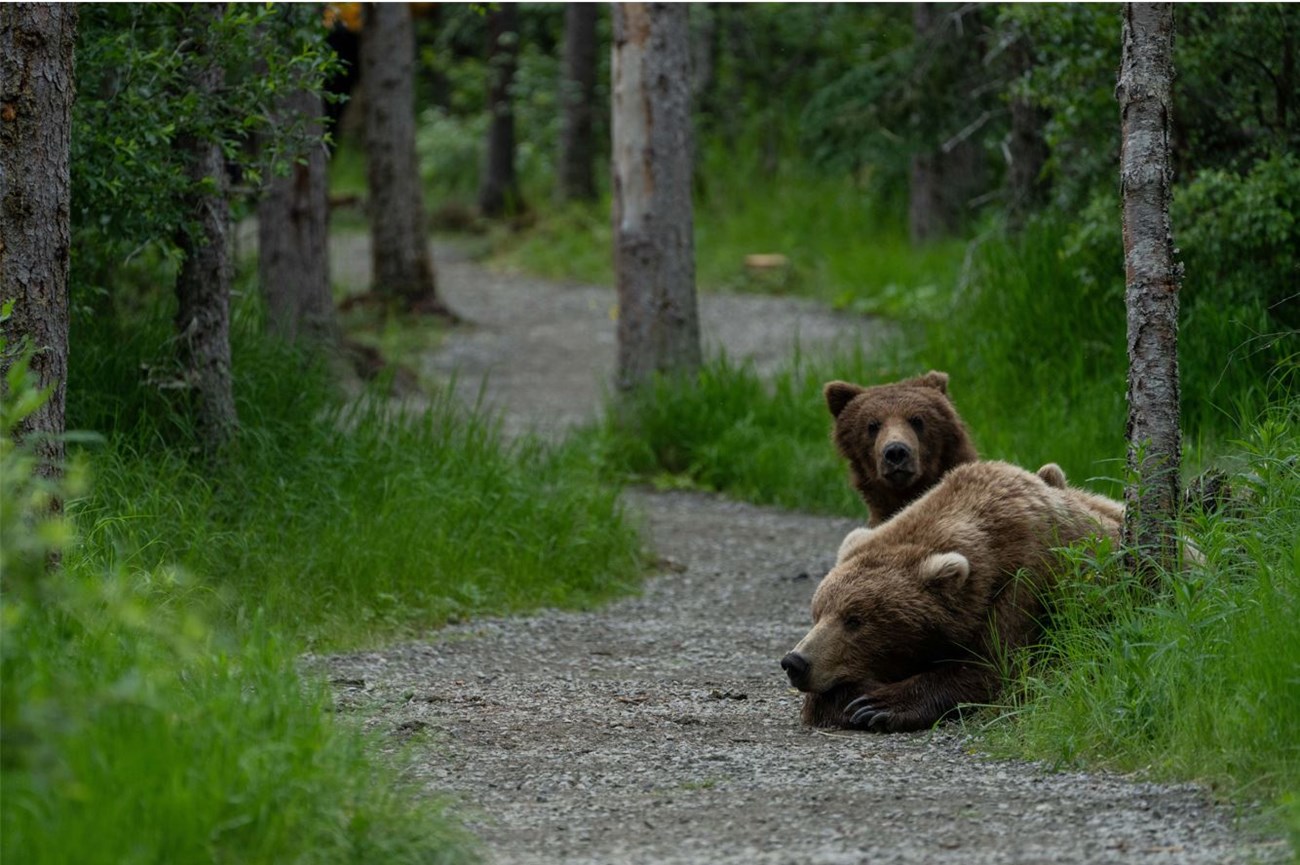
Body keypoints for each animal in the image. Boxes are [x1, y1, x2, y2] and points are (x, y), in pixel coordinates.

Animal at [780, 457, 1128, 728]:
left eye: (854, 620)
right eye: (818, 613)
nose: (795, 662)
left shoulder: (1027, 583)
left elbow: (997, 668)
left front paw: (875, 705)